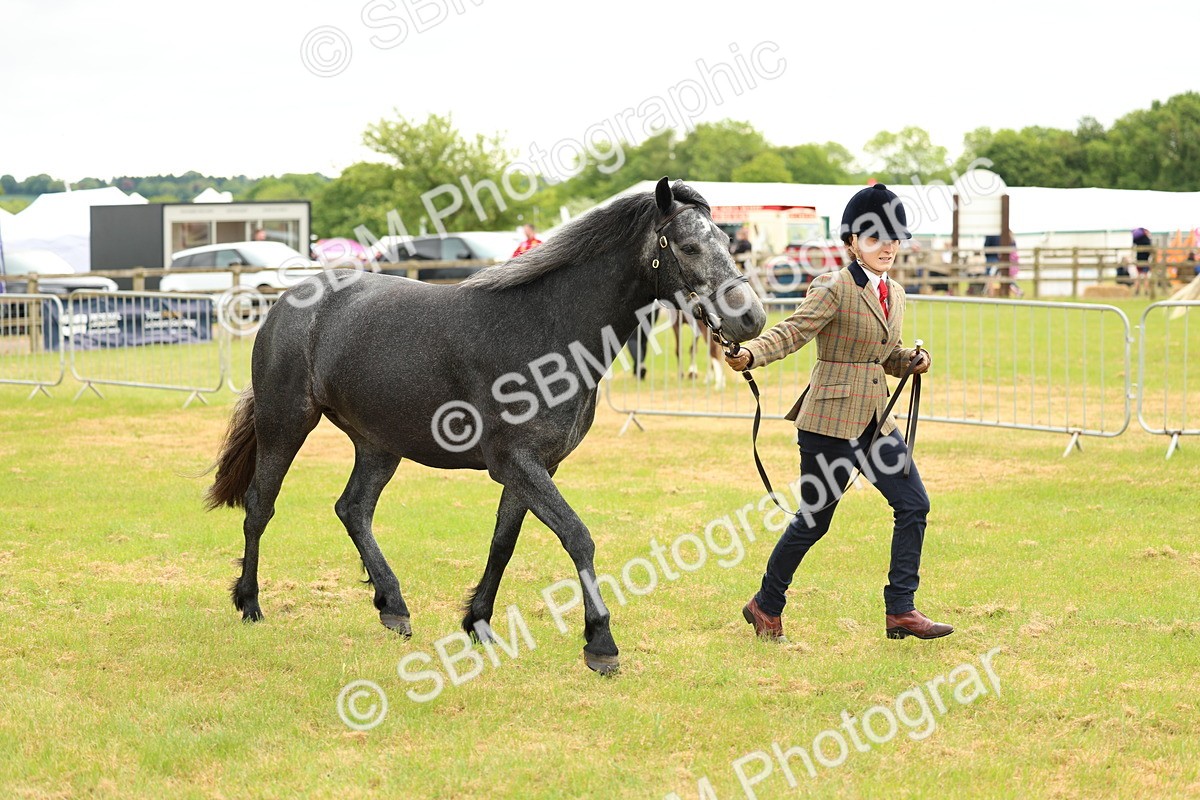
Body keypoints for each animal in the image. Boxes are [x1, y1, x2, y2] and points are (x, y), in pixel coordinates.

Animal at [205, 178, 767, 674]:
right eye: (689, 246)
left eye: (727, 243)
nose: (751, 320)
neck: (547, 330)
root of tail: (289, 300)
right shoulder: (516, 462)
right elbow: (577, 536)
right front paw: (600, 642)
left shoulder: (535, 468)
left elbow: (504, 543)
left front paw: (478, 623)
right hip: (285, 423)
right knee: (260, 507)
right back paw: (250, 603)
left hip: (378, 444)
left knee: (353, 509)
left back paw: (393, 605)